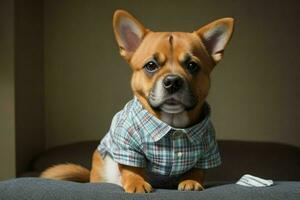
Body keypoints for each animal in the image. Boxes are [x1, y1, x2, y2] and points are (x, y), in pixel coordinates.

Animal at [40, 9, 234, 194]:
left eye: (192, 66)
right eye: (151, 65)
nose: (172, 81)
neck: (172, 123)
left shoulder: (207, 152)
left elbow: (197, 170)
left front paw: (191, 181)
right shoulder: (127, 146)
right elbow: (131, 168)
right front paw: (137, 183)